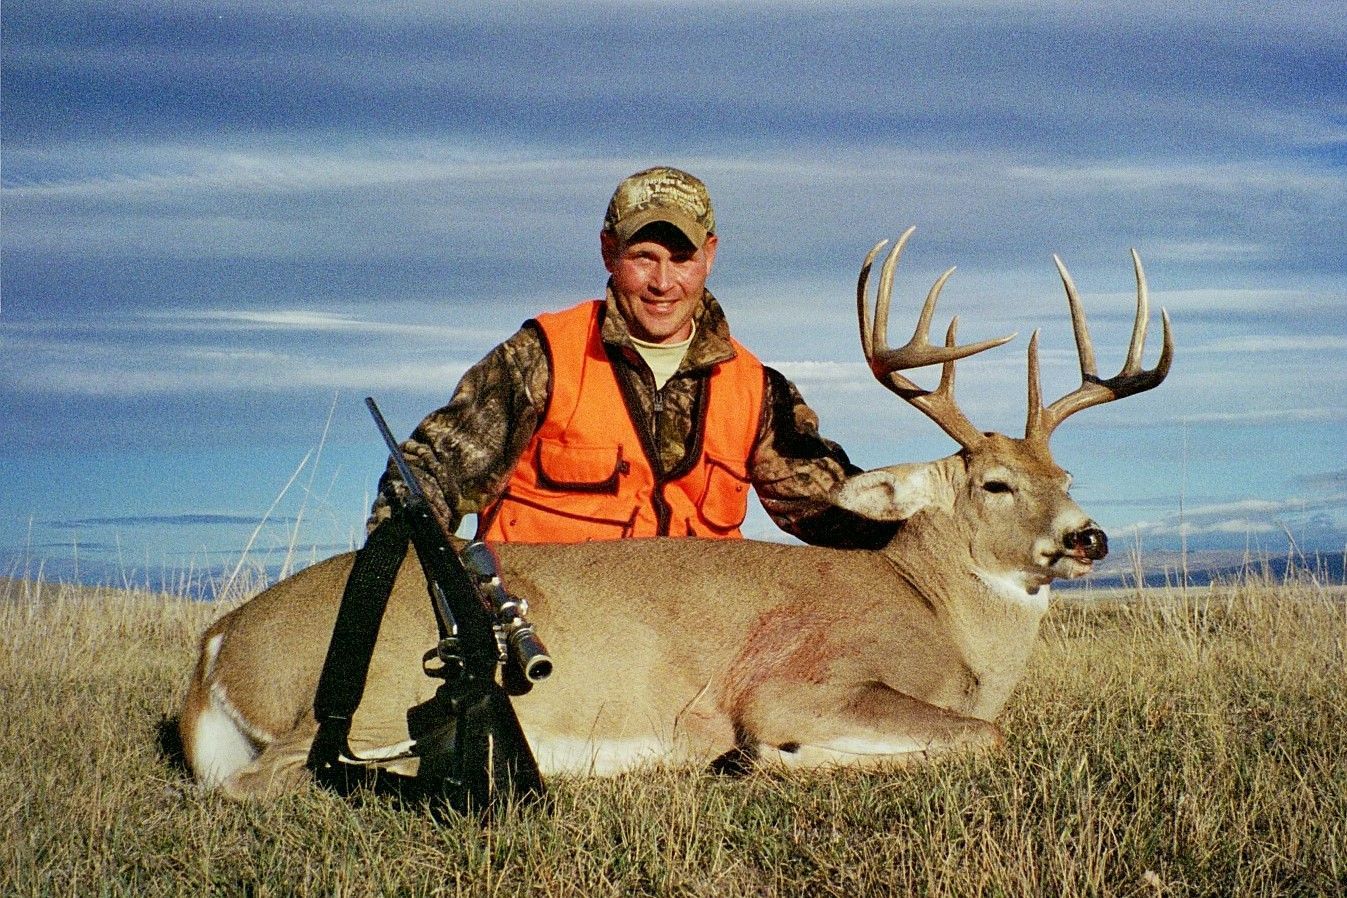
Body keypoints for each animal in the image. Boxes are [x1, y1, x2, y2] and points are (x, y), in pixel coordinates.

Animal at [179, 228, 1172, 798]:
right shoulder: (793, 684)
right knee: (268, 782)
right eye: (993, 483)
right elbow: (987, 735)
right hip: (380, 702)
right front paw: (757, 760)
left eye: (1065, 470)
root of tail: (217, 646)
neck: (941, 621)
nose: (1086, 536)